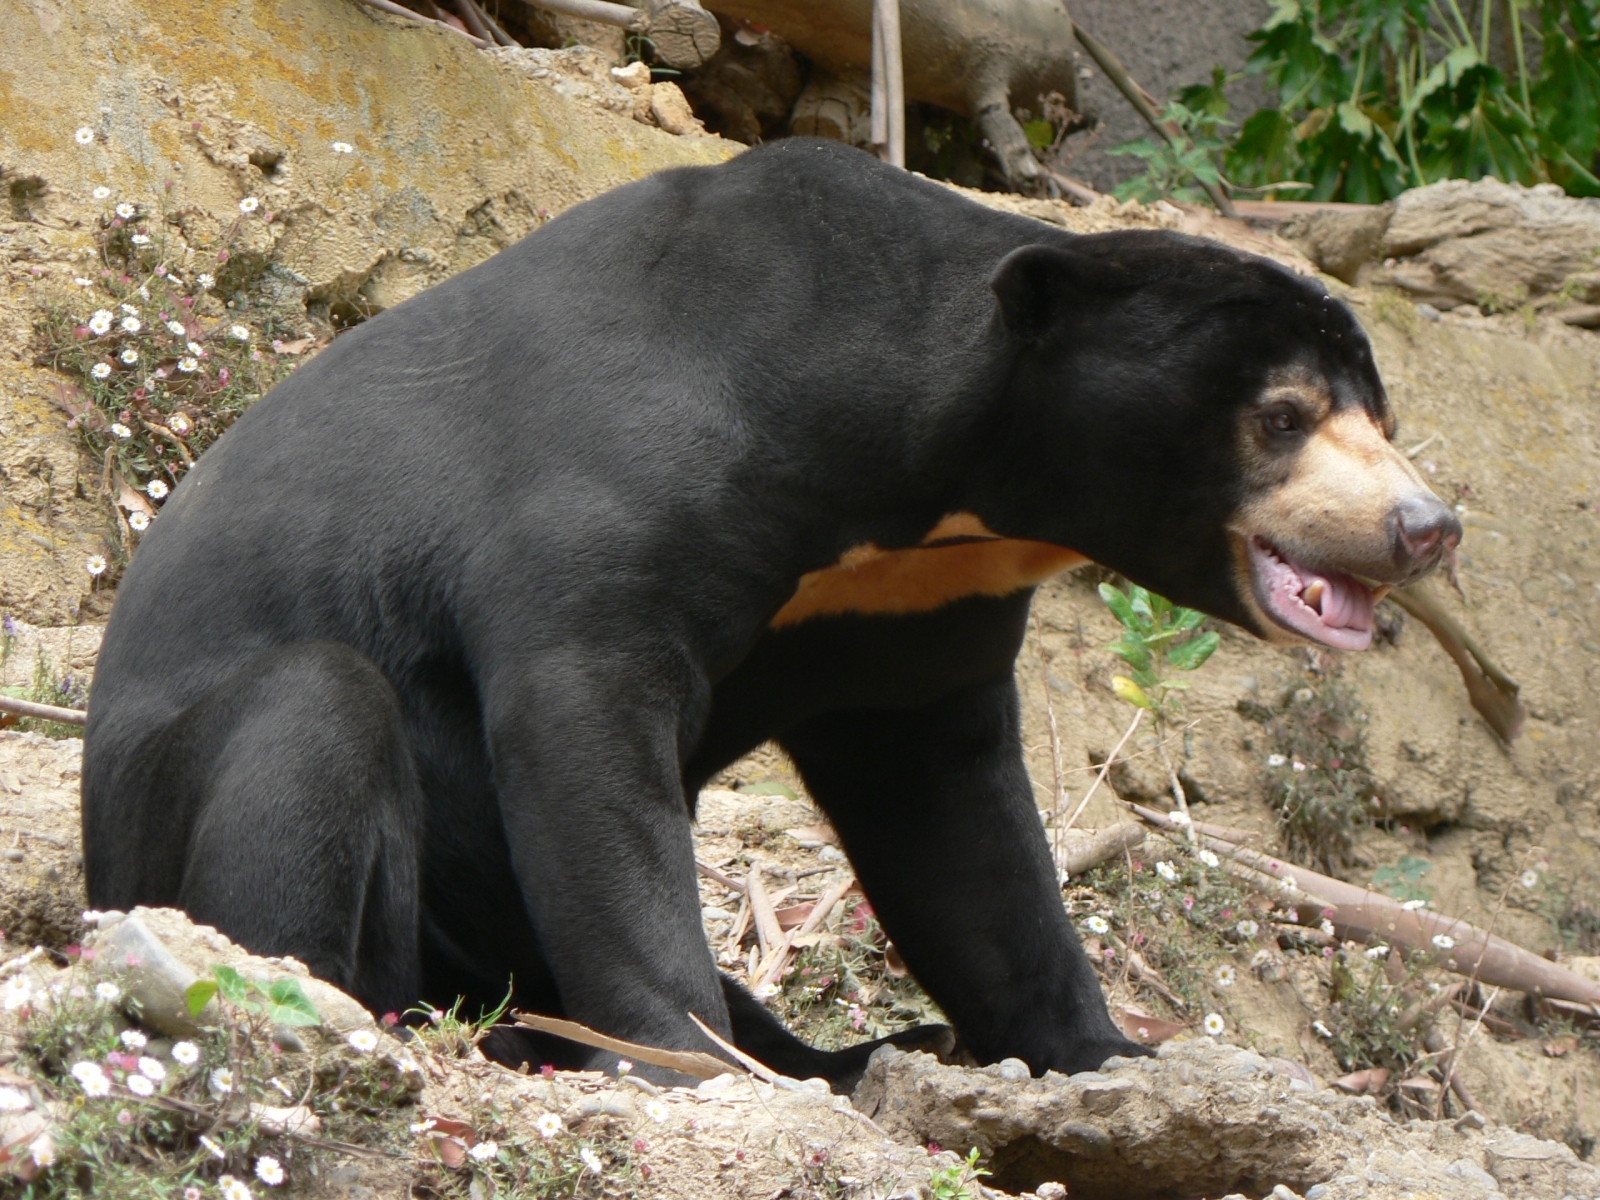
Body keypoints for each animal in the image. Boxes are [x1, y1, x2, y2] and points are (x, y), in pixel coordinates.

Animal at [84, 140, 1465, 1088]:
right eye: (1281, 415)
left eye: (1379, 414)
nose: (1425, 527)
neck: (926, 483)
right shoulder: (611, 492)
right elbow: (585, 729)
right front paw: (681, 1051)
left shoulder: (906, 608)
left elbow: (957, 830)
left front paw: (1101, 1050)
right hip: (175, 818)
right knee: (313, 711)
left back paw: (851, 1053)